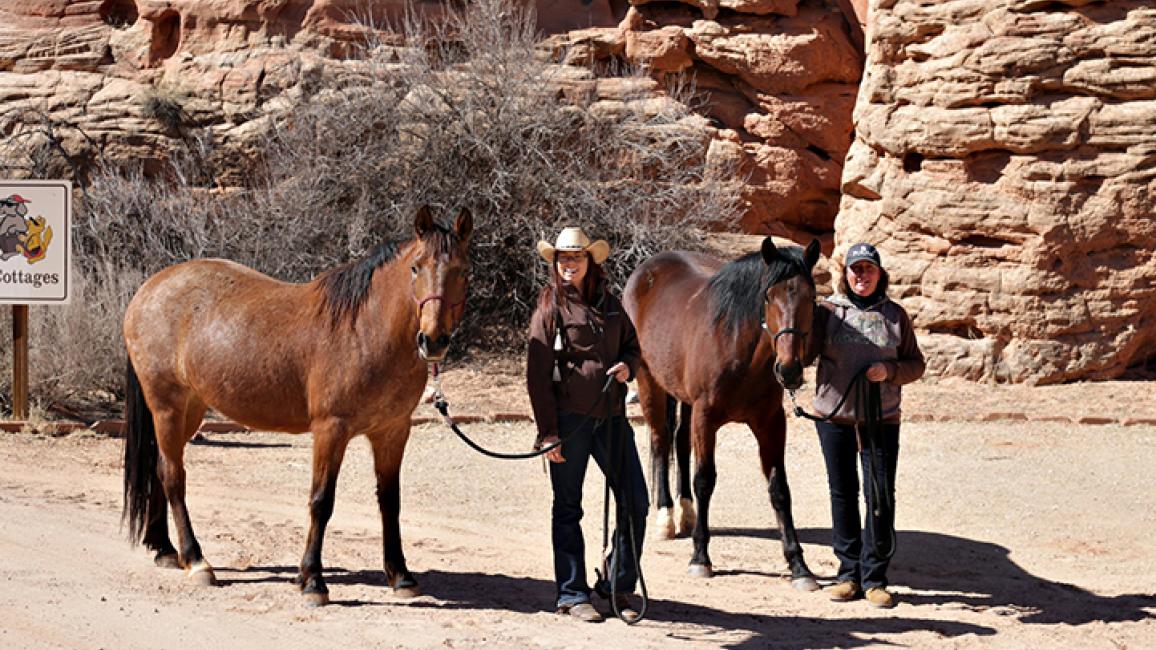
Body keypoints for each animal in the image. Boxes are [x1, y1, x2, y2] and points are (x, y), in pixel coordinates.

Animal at [122, 206, 472, 606]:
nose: (433, 340)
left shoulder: (392, 432)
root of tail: (149, 289)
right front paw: (312, 581)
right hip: (167, 406)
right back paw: (196, 561)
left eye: (463, 270)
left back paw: (166, 550)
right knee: (172, 476)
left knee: (159, 470)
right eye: (416, 267)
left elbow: (390, 501)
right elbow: (321, 501)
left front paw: (401, 576)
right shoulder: (331, 429)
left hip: (189, 411)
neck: (366, 330)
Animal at [623, 237, 821, 590]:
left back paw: (686, 513)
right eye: (768, 296)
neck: (737, 348)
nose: (789, 370)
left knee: (680, 441)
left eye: (810, 298)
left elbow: (779, 489)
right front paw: (700, 558)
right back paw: (665, 517)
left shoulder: (771, 424)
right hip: (649, 381)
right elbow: (705, 480)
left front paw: (799, 565)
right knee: (660, 441)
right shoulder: (706, 419)